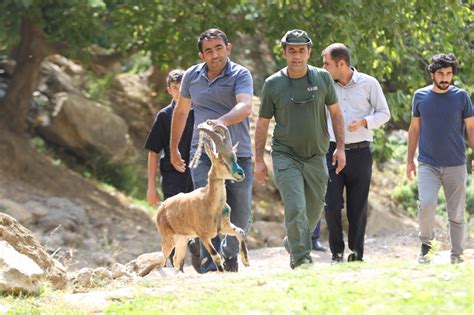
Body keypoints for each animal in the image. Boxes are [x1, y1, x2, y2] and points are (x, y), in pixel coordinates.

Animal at [154, 121, 250, 274]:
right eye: (222, 161)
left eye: (234, 157)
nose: (240, 173)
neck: (210, 203)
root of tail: (160, 209)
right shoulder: (203, 235)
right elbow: (215, 255)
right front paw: (221, 271)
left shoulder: (224, 227)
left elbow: (240, 231)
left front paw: (246, 261)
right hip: (169, 238)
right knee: (162, 259)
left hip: (182, 239)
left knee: (176, 259)